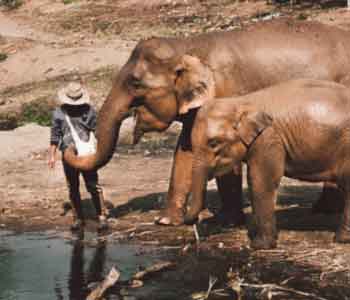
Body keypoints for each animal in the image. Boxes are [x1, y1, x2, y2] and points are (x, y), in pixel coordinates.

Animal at [64, 18, 350, 225]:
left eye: (135, 83)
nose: (107, 213)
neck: (188, 46)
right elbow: (184, 151)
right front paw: (166, 221)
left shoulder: (227, 92)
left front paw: (227, 222)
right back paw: (324, 210)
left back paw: (324, 210)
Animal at [186, 79, 350, 248]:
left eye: (214, 143)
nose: (196, 221)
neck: (241, 102)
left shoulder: (267, 138)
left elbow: (260, 180)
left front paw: (259, 245)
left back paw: (341, 239)